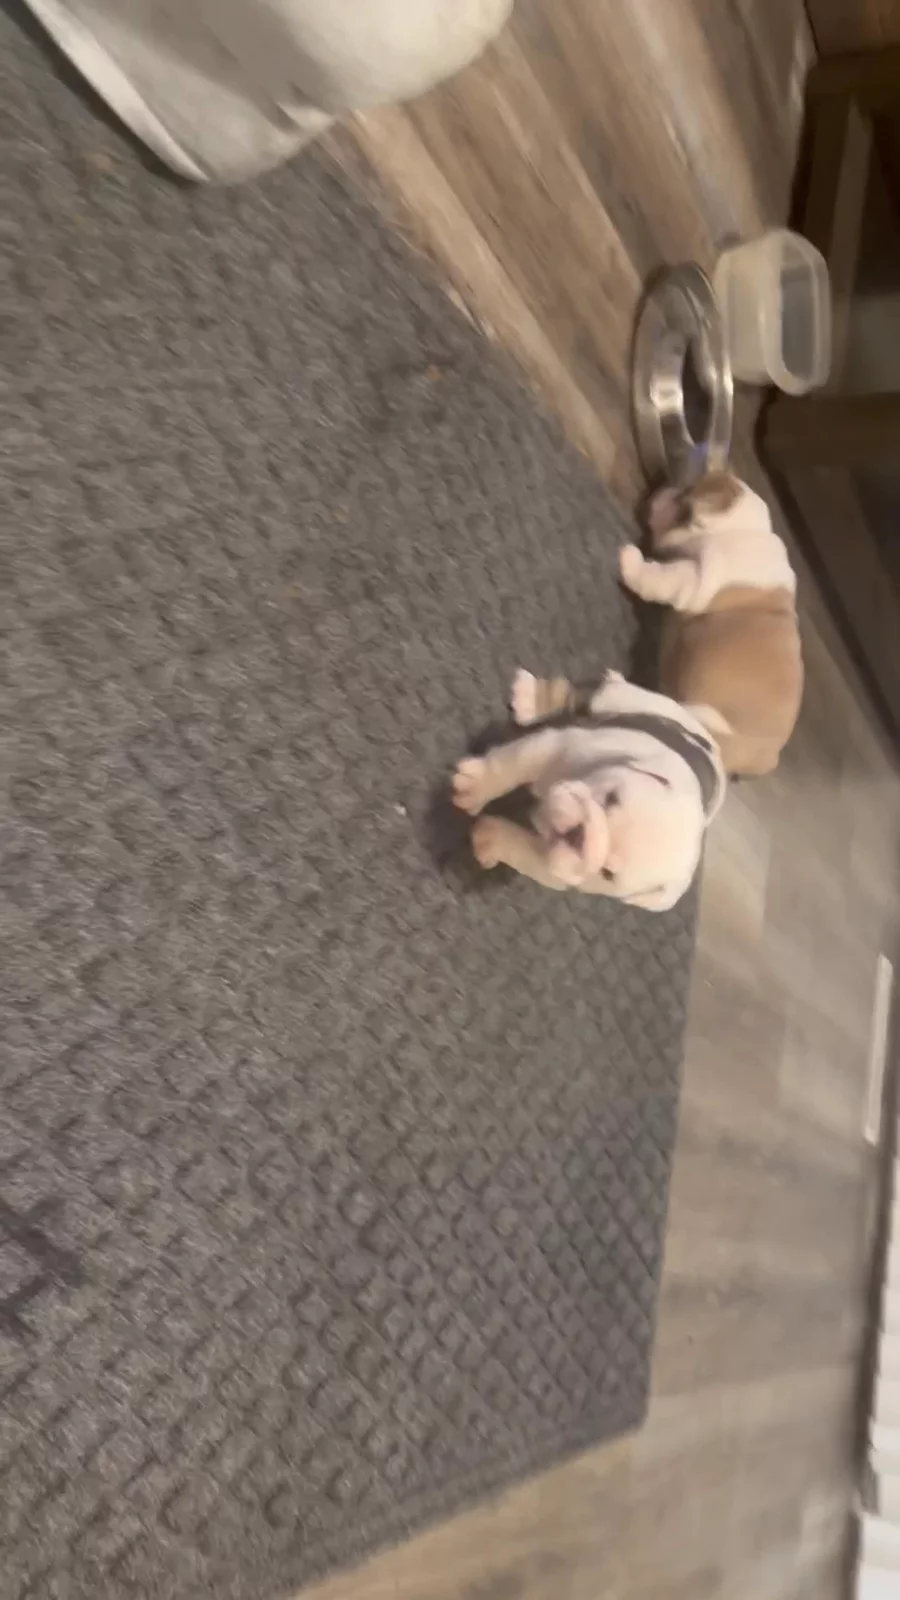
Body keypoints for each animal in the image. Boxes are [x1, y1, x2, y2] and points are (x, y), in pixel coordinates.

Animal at [452, 669, 725, 912]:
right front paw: (476, 786)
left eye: (607, 874)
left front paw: (491, 839)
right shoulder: (555, 749)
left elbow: (524, 851)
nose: (579, 835)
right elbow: (512, 765)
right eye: (610, 798)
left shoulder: (558, 867)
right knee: (574, 694)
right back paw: (532, 698)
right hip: (625, 699)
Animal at [618, 471, 803, 777]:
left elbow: (658, 576)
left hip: (701, 714)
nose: (662, 490)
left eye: (686, 502)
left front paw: (629, 561)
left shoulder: (691, 580)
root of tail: (765, 759)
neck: (741, 530)